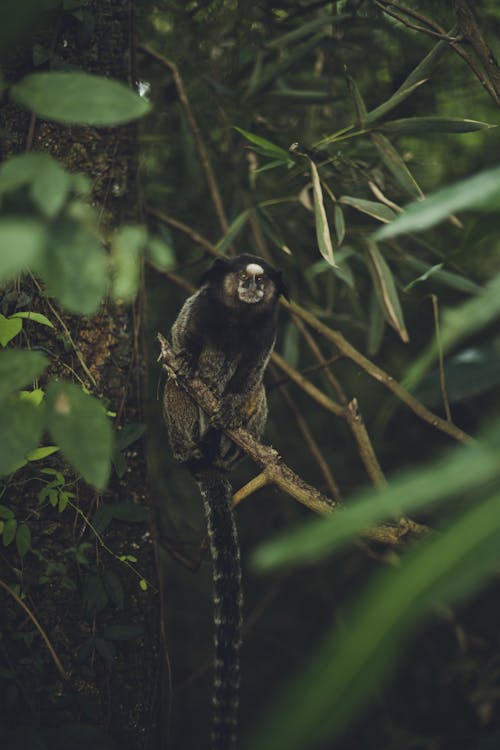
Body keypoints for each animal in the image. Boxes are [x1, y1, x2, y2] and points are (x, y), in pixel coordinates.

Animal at [164, 256, 288, 750]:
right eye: (242, 277)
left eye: (262, 280)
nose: (253, 287)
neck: (237, 318)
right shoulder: (197, 312)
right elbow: (181, 339)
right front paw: (184, 358)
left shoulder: (266, 333)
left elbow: (252, 375)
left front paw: (232, 404)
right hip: (178, 426)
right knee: (176, 391)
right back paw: (194, 445)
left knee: (260, 392)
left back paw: (230, 440)